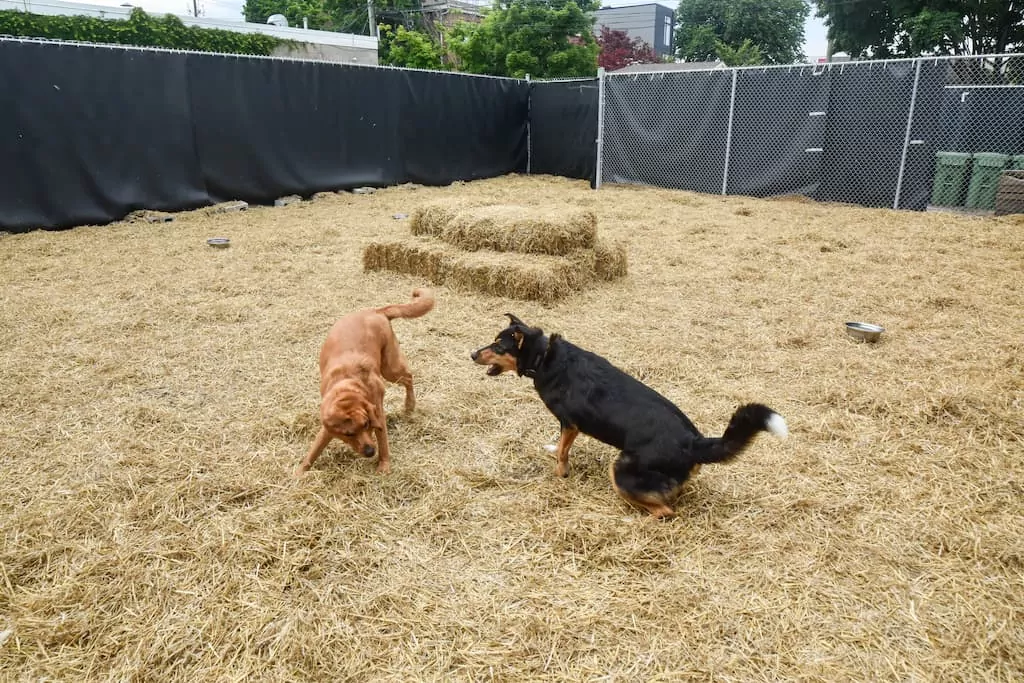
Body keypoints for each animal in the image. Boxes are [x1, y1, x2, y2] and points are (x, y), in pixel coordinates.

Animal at [299, 286, 438, 475]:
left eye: (365, 424)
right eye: (348, 434)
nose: (371, 451)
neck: (348, 384)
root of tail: (375, 311)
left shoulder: (377, 412)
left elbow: (383, 441)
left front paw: (384, 466)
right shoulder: (327, 427)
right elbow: (314, 450)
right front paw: (299, 473)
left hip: (391, 369)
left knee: (409, 377)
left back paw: (409, 405)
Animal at [468, 313, 786, 518]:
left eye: (498, 345)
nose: (471, 354)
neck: (543, 356)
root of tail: (693, 441)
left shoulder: (570, 424)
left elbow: (562, 452)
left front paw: (560, 474)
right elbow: (558, 447)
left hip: (621, 470)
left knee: (665, 512)